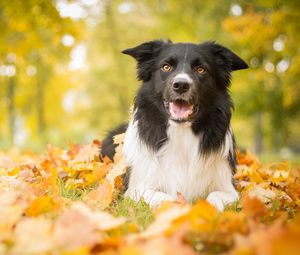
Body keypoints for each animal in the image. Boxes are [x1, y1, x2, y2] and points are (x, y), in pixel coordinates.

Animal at [101, 40, 248, 211]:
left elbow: (215, 195)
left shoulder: (228, 187)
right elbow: (167, 198)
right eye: (166, 67)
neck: (181, 133)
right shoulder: (135, 189)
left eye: (201, 69)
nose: (181, 85)